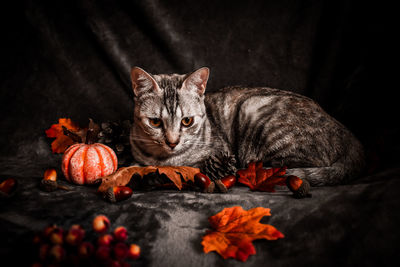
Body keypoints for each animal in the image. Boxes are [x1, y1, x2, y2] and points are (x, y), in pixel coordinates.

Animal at [130, 66, 364, 186]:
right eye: (155, 122)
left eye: (187, 121)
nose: (172, 142)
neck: (164, 159)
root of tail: (348, 135)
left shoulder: (216, 153)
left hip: (254, 109)